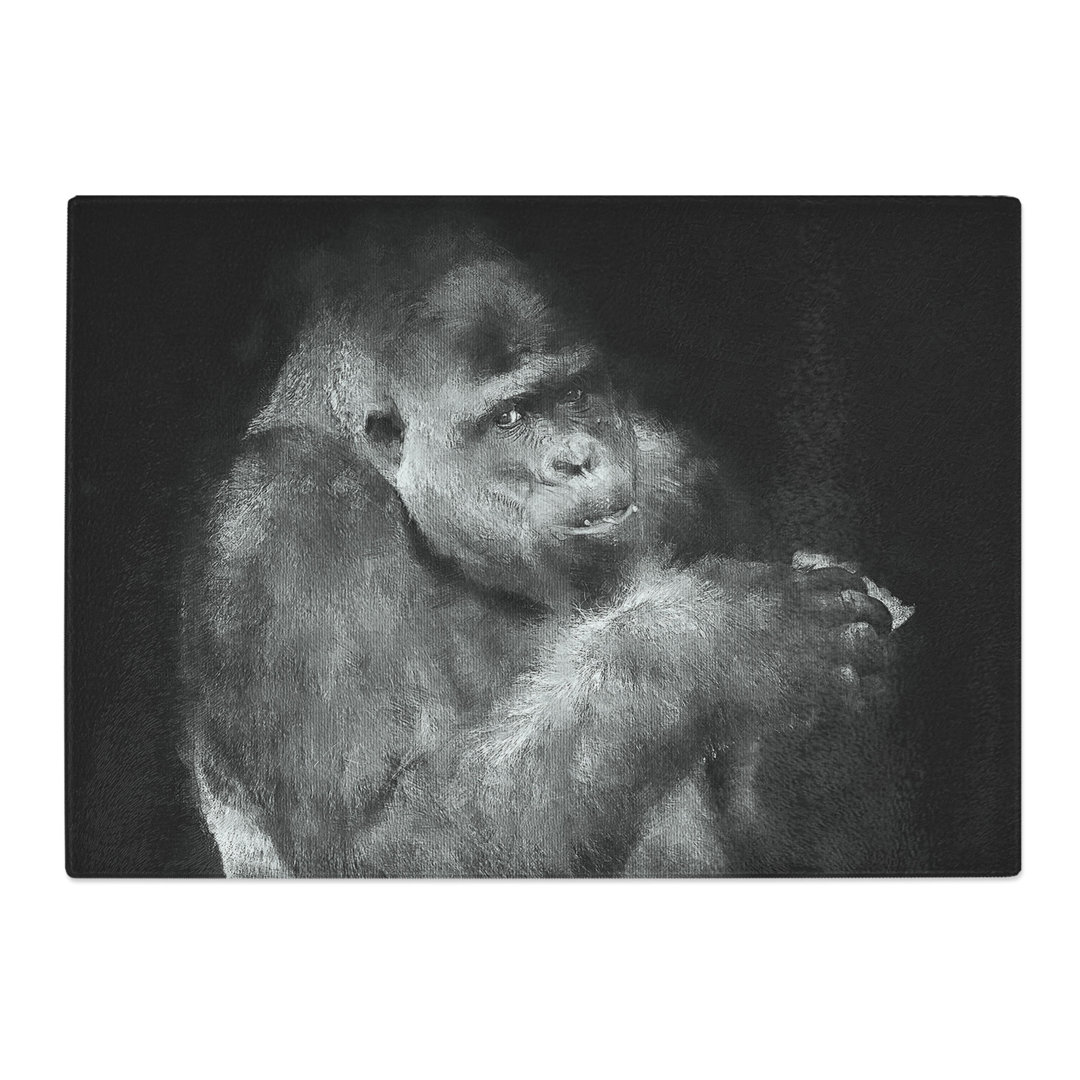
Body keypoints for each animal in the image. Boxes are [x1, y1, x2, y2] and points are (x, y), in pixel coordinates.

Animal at [181, 228, 899, 877]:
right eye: (510, 418)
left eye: (575, 394)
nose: (578, 460)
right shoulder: (282, 522)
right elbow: (371, 840)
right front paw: (714, 642)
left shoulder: (685, 475)